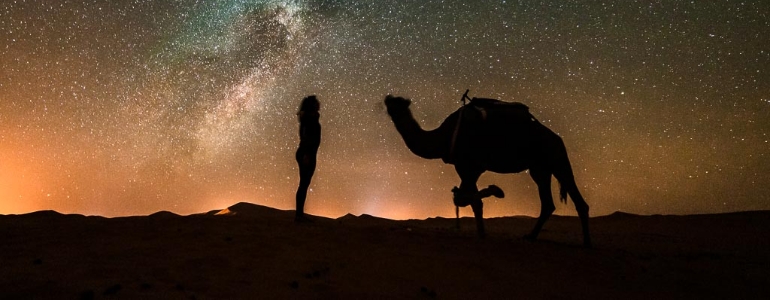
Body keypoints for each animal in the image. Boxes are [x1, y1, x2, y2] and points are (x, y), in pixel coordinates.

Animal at [388, 94, 592, 248]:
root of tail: (557, 138)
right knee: (548, 203)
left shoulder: (470, 166)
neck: (444, 137)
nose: (388, 100)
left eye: (397, 103)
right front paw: (481, 232)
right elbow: (471, 201)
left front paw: (496, 191)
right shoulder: (466, 169)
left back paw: (587, 243)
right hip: (539, 168)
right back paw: (531, 236)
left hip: (557, 158)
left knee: (575, 197)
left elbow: (464, 199)